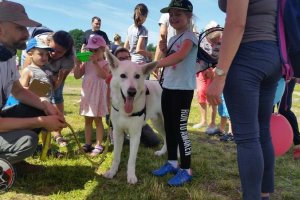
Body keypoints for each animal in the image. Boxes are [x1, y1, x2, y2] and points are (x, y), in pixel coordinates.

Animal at [103, 50, 166, 184]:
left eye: (137, 76)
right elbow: (116, 156)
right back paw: (162, 152)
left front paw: (131, 176)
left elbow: (131, 160)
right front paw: (112, 171)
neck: (125, 111)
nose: (132, 92)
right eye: (123, 76)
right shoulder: (117, 133)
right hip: (157, 123)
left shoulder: (135, 135)